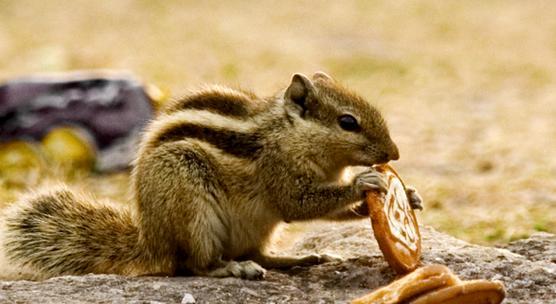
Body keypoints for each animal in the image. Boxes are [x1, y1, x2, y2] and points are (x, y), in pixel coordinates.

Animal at [0, 71, 422, 280]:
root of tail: (150, 242)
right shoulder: (280, 174)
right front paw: (363, 183)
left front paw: (410, 196)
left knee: (260, 254)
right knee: (193, 265)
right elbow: (299, 204)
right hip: (190, 206)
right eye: (348, 122)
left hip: (257, 227)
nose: (395, 154)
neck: (288, 133)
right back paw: (231, 269)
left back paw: (299, 259)